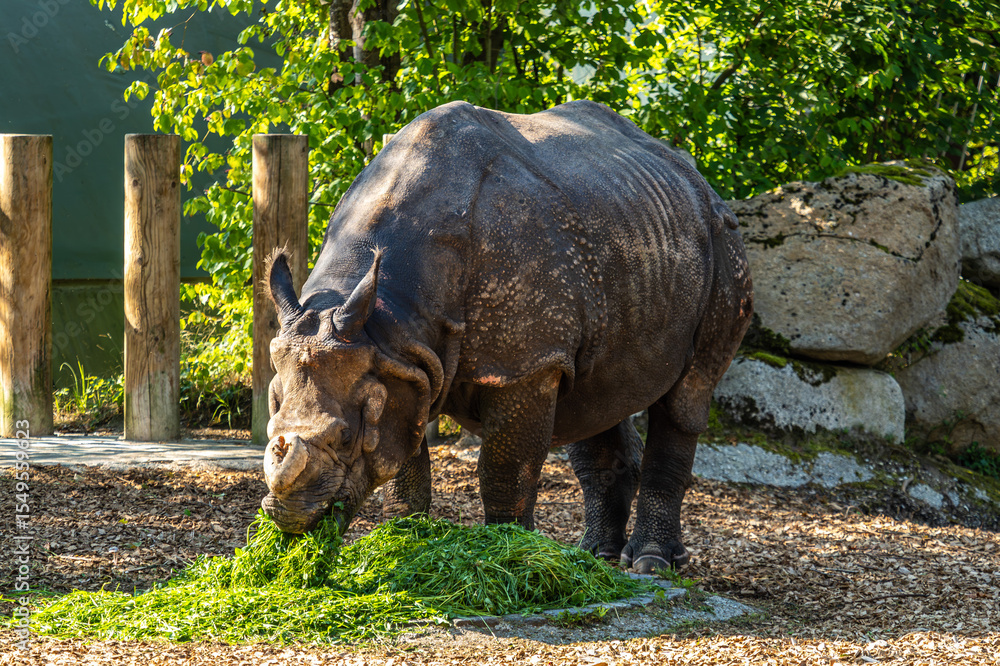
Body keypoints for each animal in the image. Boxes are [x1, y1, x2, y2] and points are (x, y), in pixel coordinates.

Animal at [262, 100, 753, 572]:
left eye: (345, 438)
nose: (288, 516)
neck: (386, 317)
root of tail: (696, 177)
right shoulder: (403, 362)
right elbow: (405, 463)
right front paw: (402, 539)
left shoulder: (524, 364)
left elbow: (504, 468)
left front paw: (508, 551)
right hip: (628, 227)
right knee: (594, 398)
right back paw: (594, 557)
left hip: (723, 244)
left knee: (686, 395)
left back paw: (651, 564)